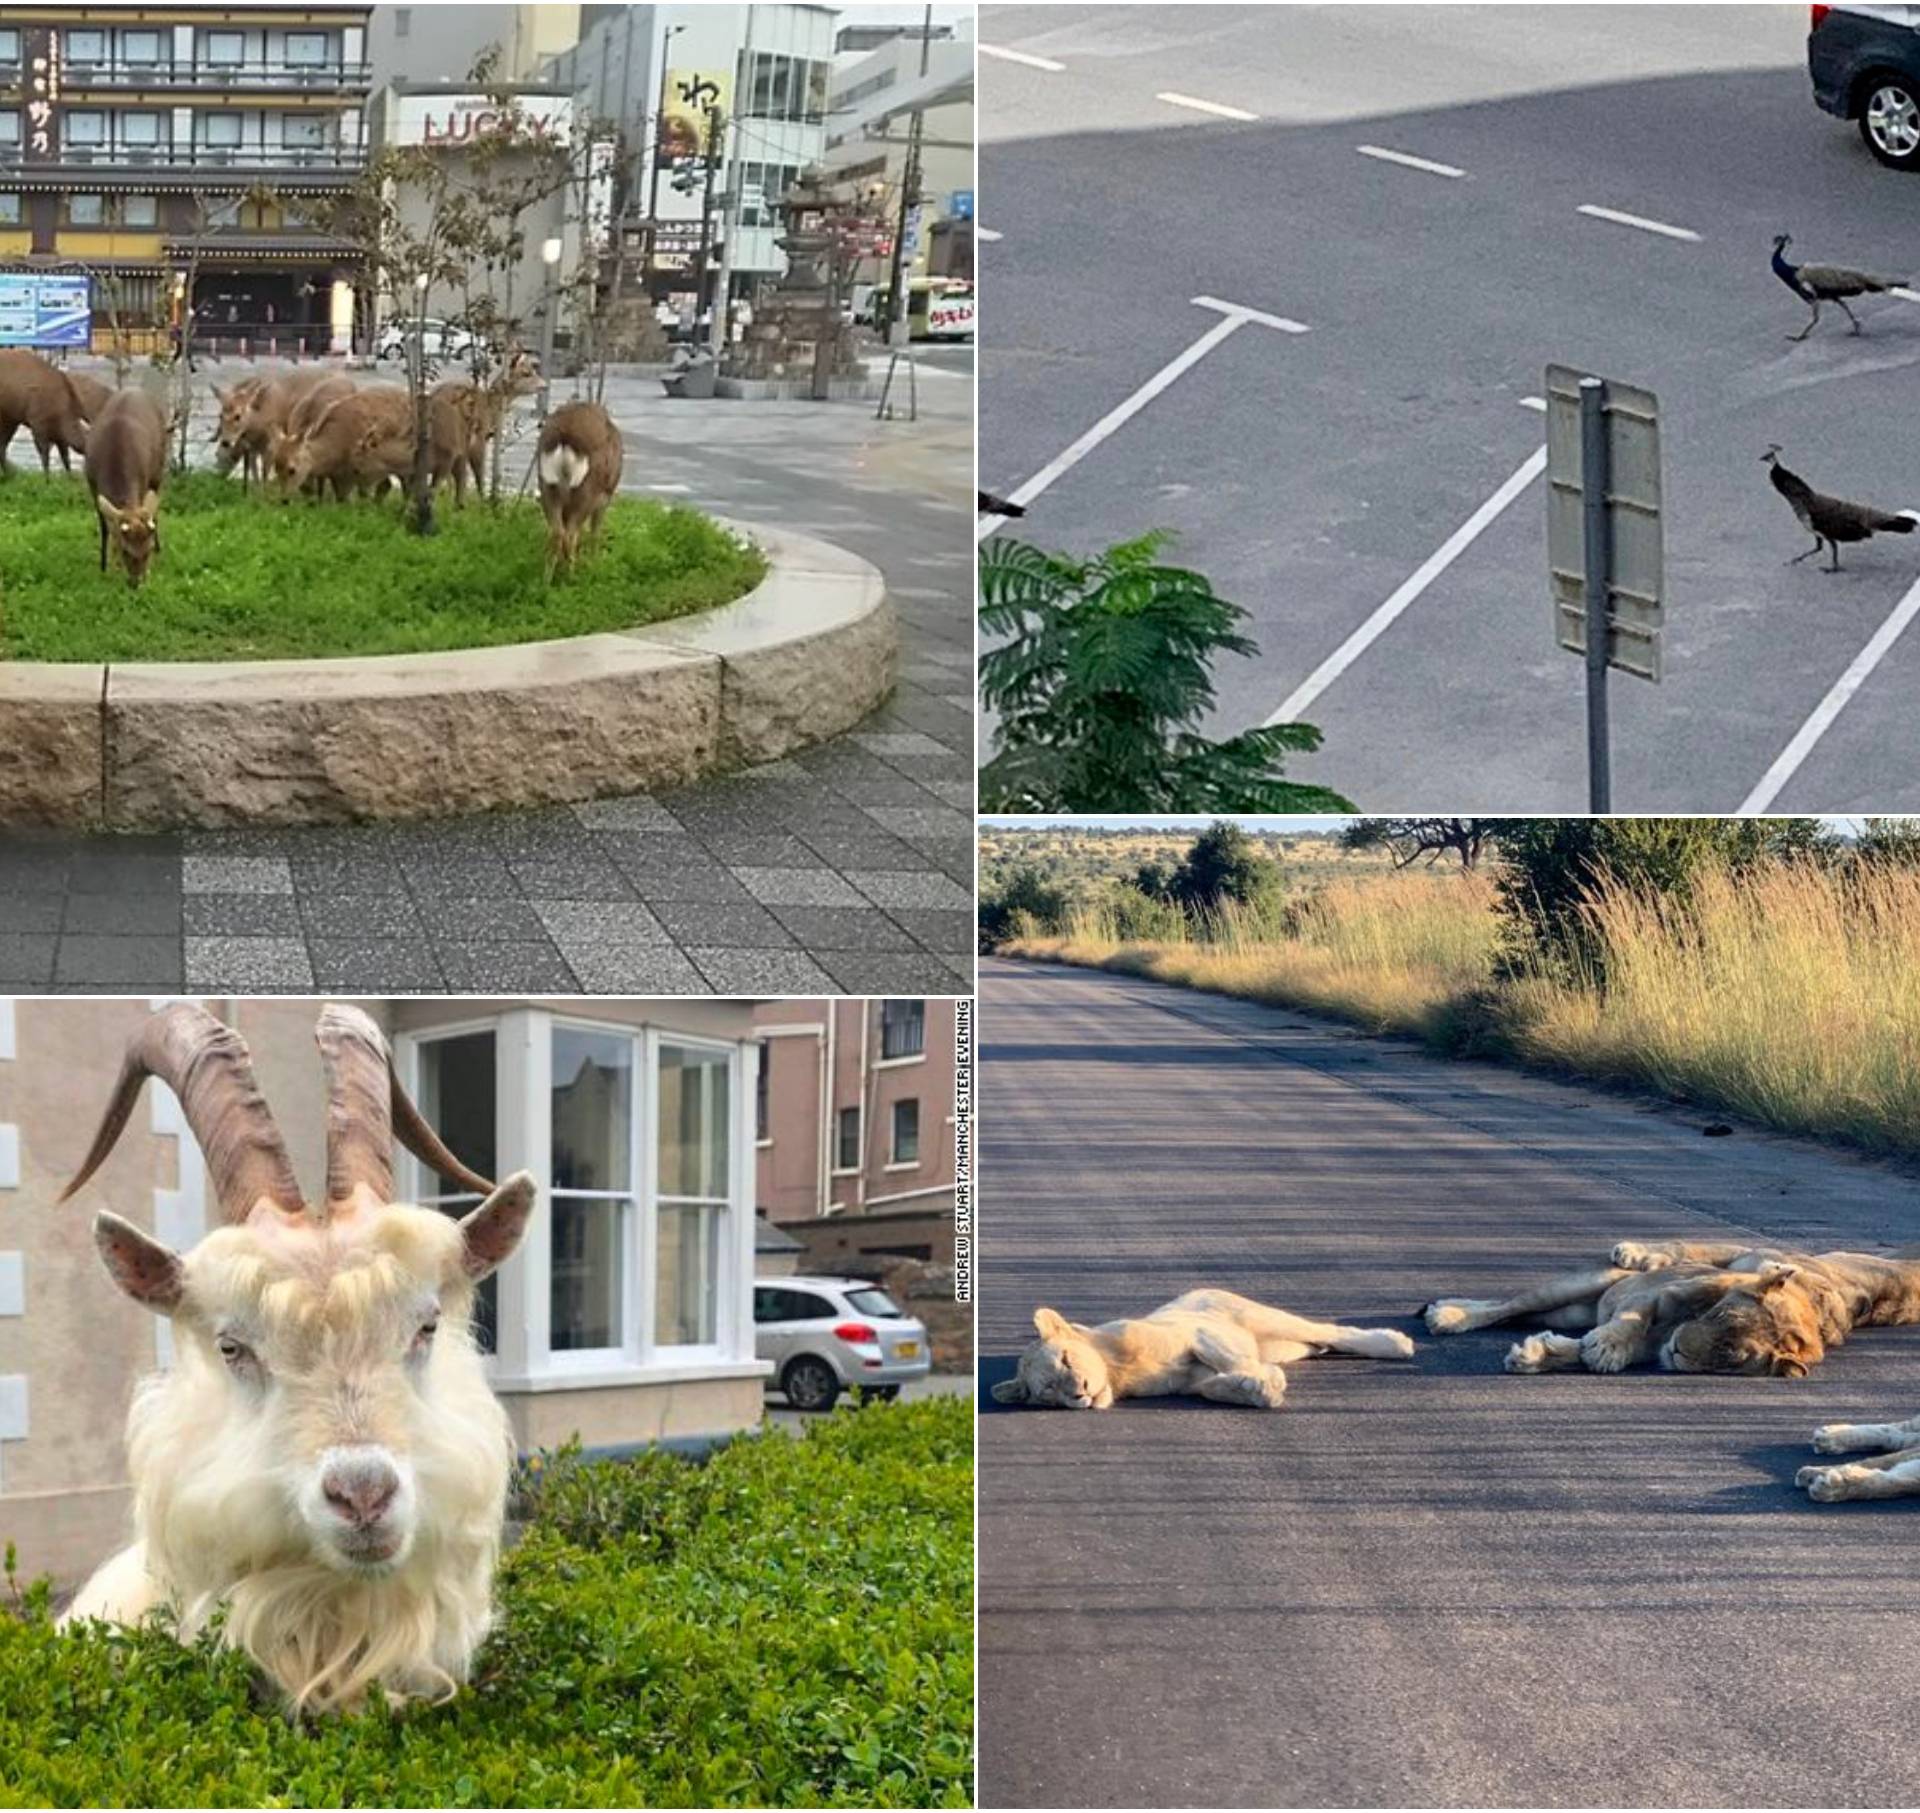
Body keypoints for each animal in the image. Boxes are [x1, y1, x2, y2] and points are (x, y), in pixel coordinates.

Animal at [82, 389, 168, 587]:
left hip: (158, 470)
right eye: (125, 550)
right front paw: (106, 566)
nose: (136, 583)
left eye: (148, 549)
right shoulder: (92, 483)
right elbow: (105, 527)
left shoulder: (144, 480)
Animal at [533, 399, 622, 576]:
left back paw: (547, 577)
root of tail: (565, 438)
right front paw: (595, 563)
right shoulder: (605, 498)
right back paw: (572, 575)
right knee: (571, 534)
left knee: (557, 532)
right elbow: (595, 532)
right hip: (587, 491)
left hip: (547, 485)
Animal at [990, 1282, 1413, 1405]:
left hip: (1258, 1316)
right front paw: (1258, 1388)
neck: (1118, 1371)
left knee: (1329, 1330)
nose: (1079, 1392)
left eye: (1065, 1359)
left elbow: (1225, 1356)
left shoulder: (1194, 1331)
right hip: (1286, 1345)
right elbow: (1213, 1387)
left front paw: (1262, 1379)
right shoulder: (1187, 1383)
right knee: (1314, 1344)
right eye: (1048, 1391)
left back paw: (1395, 1343)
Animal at [1420, 1236, 1920, 1382]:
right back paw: (1447, 1314)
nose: (1679, 1352)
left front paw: (1537, 1355)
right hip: (1580, 1286)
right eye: (1721, 1318)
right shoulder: (1664, 1293)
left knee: (1528, 1316)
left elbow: (1581, 1350)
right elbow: (1630, 1321)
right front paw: (1606, 1348)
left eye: (1729, 1359)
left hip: (1571, 1311)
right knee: (1507, 1305)